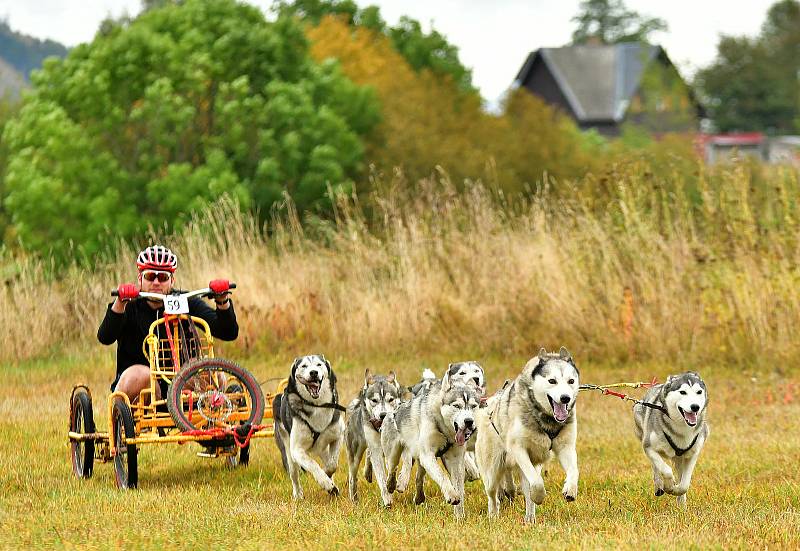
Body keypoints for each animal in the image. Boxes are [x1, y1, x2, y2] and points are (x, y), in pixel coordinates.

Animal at [274, 356, 346, 502]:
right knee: (294, 475)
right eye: (304, 366)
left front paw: (328, 477)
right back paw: (298, 495)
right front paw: (325, 483)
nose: (313, 373)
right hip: (288, 453)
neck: (317, 406)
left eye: (319, 364)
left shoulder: (338, 435)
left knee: (327, 458)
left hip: (322, 448)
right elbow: (312, 464)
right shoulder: (297, 450)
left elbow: (333, 464)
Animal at [346, 370, 404, 508]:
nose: (383, 415)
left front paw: (392, 484)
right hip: (354, 455)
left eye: (391, 399)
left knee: (368, 454)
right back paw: (354, 500)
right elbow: (381, 477)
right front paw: (387, 499)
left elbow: (392, 468)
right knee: (352, 478)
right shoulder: (376, 448)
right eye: (374, 400)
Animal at [382, 374, 482, 520]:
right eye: (457, 406)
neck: (444, 430)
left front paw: (459, 516)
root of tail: (395, 409)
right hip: (394, 453)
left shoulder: (456, 459)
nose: (469, 421)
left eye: (473, 406)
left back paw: (419, 497)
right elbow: (443, 476)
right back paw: (391, 485)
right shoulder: (428, 455)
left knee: (419, 478)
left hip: (420, 459)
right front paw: (451, 495)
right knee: (392, 469)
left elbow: (459, 488)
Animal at [472, 348, 580, 524]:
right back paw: (493, 515)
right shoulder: (519, 450)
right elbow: (537, 483)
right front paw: (539, 496)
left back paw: (530, 519)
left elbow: (573, 471)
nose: (565, 398)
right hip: (493, 468)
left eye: (571, 381)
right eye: (552, 381)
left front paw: (570, 489)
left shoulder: (566, 448)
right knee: (492, 493)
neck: (546, 420)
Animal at [636, 374, 708, 506]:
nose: (695, 407)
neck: (681, 428)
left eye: (699, 392)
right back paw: (659, 485)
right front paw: (669, 486)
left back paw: (681, 504)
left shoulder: (693, 453)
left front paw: (677, 491)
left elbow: (684, 484)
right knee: (656, 467)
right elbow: (666, 470)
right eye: (683, 392)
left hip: (680, 458)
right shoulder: (648, 446)